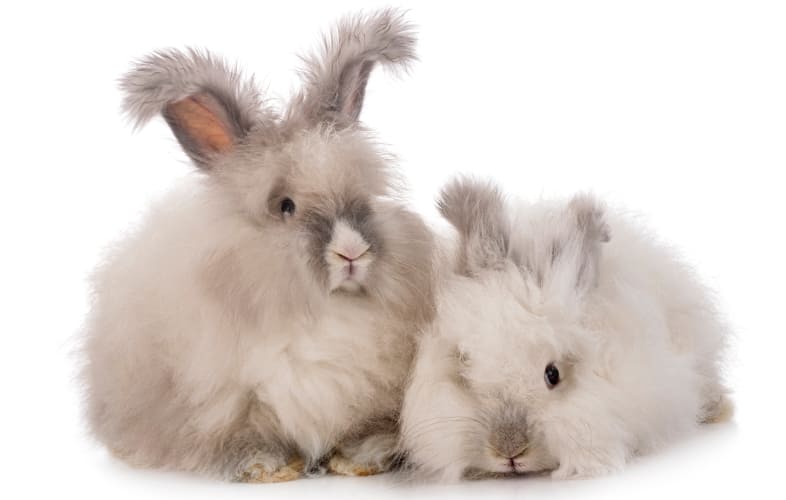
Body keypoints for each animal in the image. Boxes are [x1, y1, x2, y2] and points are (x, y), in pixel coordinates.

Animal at [80, 9, 437, 482]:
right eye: (285, 206)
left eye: (362, 197)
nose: (352, 253)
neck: (323, 314)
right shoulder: (229, 401)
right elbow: (247, 437)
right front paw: (268, 466)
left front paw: (361, 458)